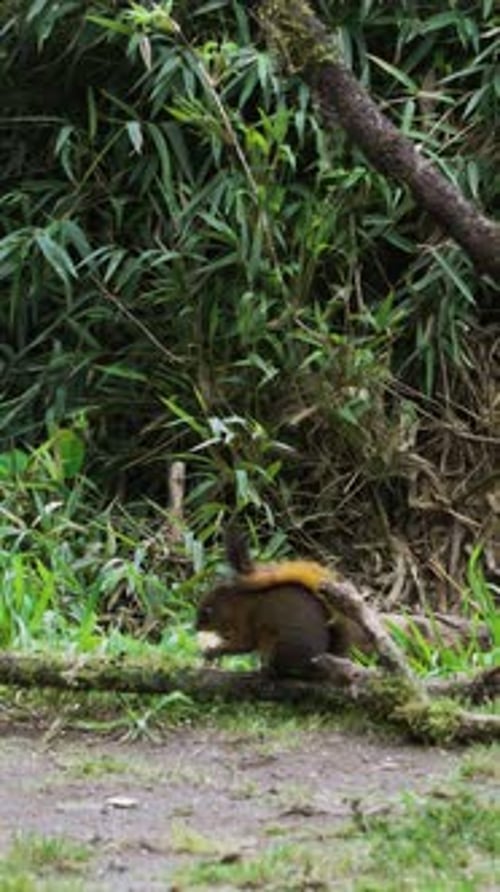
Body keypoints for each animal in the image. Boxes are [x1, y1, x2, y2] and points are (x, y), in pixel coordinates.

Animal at [195, 528, 360, 677]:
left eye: (207, 610)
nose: (196, 627)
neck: (235, 605)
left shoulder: (244, 621)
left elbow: (244, 644)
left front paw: (213, 650)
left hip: (280, 648)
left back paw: (270, 671)